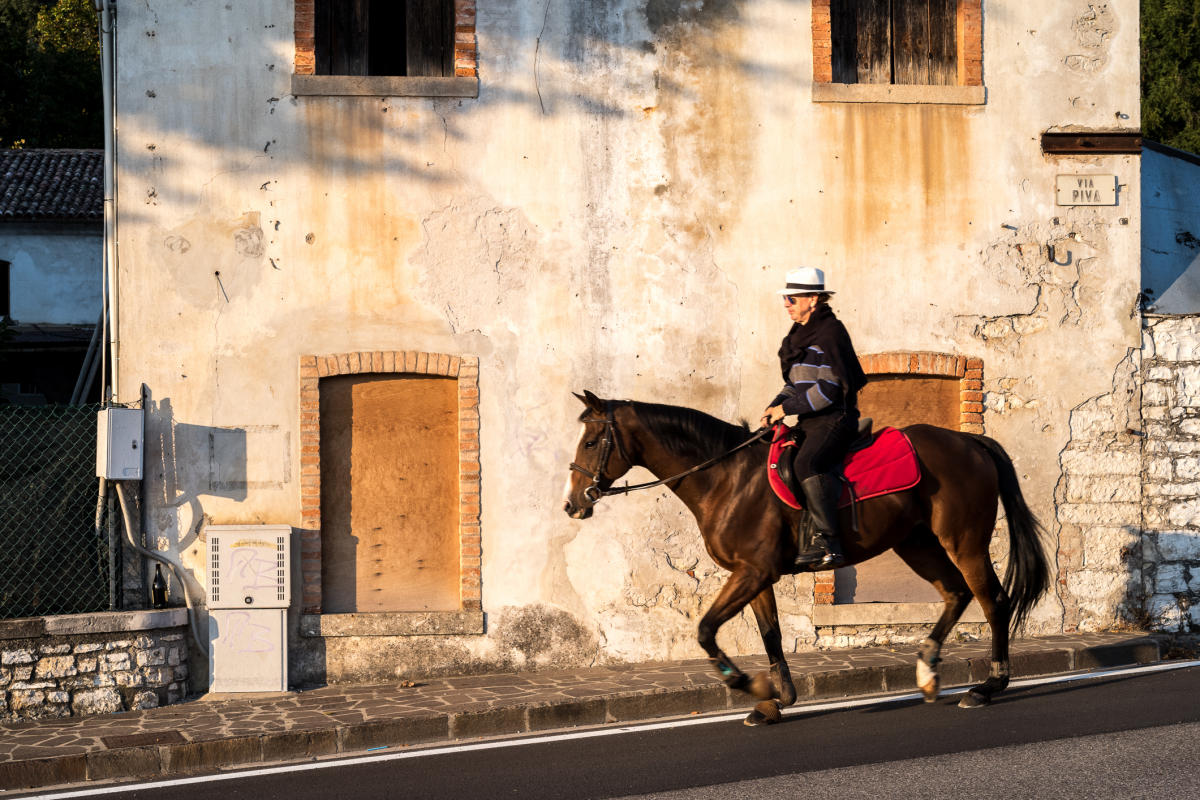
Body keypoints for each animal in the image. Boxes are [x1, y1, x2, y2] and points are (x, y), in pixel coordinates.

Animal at [561, 391, 1051, 724]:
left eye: (591, 441)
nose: (573, 504)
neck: (726, 477)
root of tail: (971, 443)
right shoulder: (754, 575)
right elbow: (771, 636)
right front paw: (776, 699)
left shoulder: (752, 572)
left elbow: (705, 630)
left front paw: (750, 684)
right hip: (916, 543)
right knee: (955, 594)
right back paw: (928, 670)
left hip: (964, 542)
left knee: (993, 602)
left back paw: (988, 686)